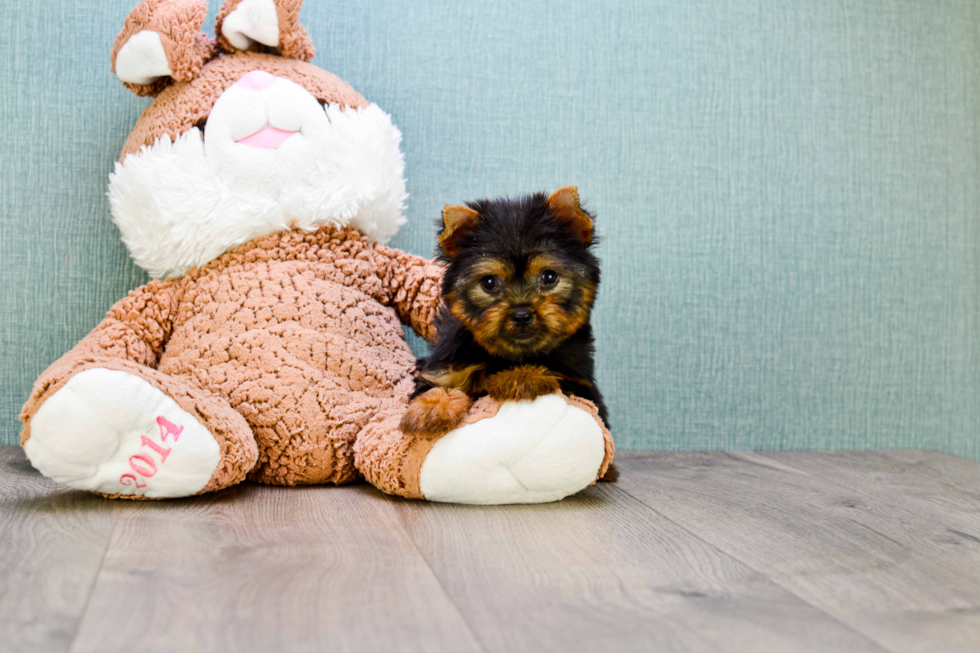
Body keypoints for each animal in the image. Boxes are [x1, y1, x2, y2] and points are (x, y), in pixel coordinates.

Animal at [400, 186, 612, 454]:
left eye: (549, 277)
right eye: (489, 282)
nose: (521, 314)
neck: (511, 354)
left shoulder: (581, 383)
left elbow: (555, 374)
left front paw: (519, 377)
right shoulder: (449, 364)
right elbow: (440, 384)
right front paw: (432, 407)